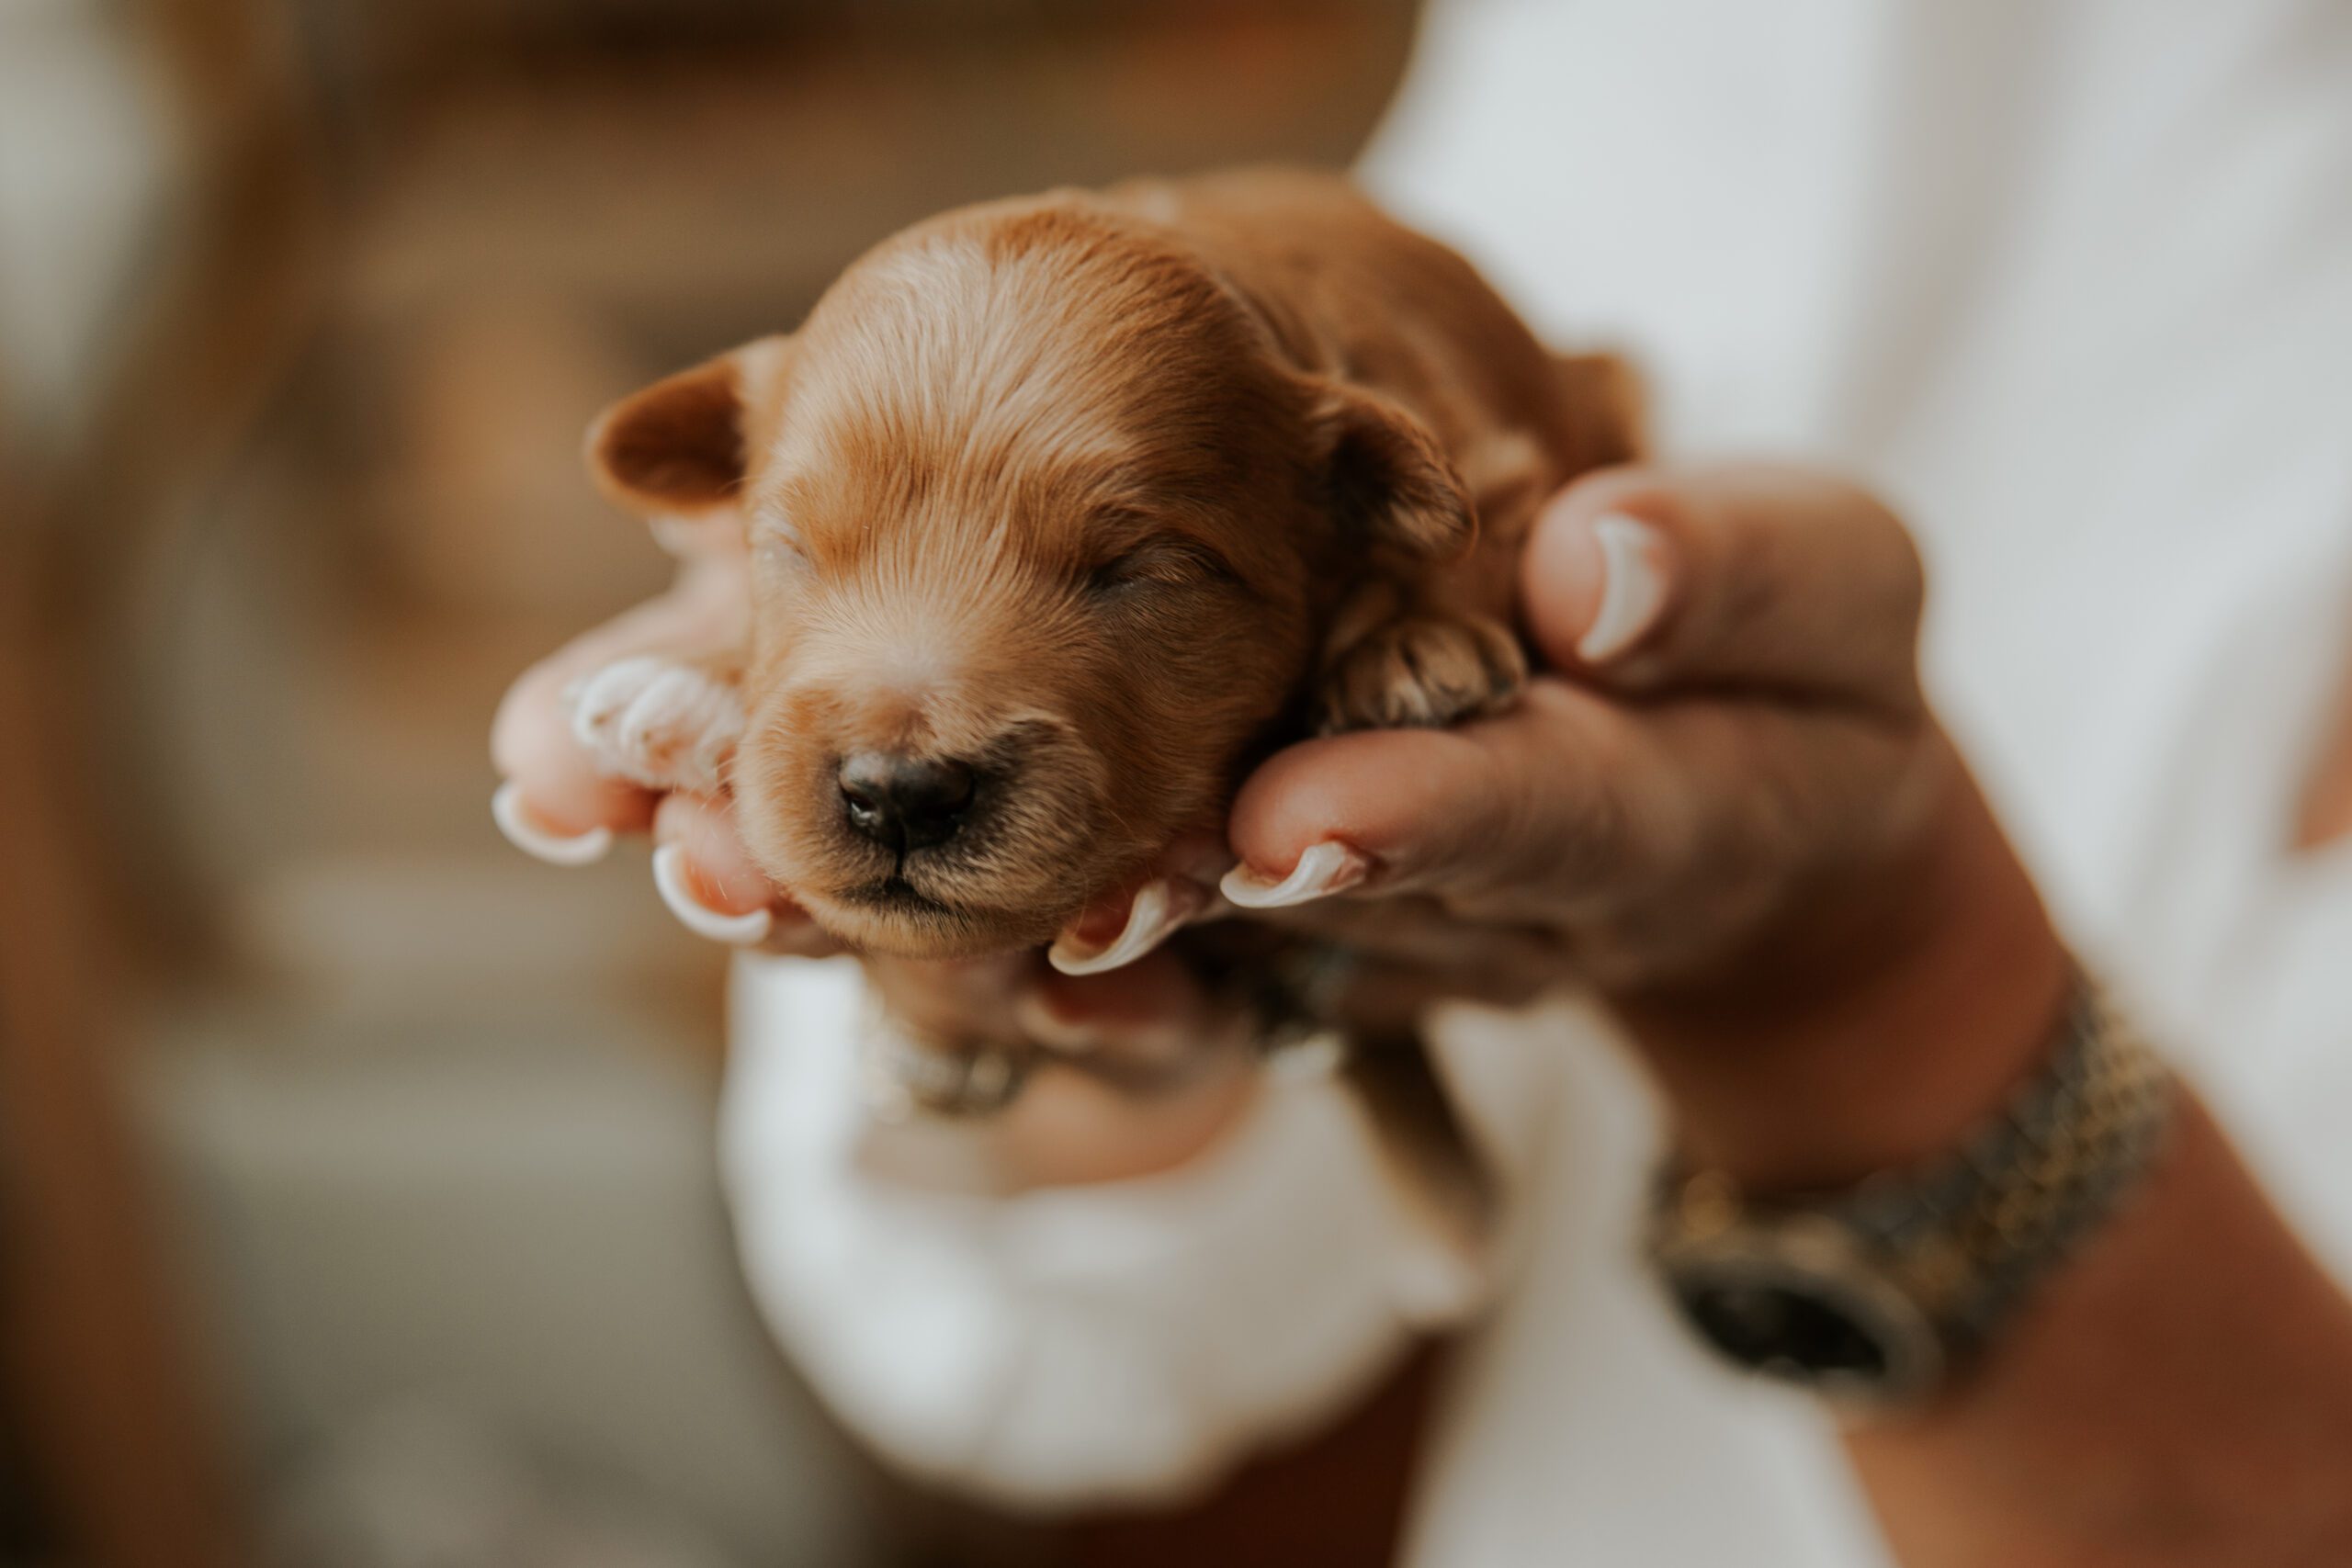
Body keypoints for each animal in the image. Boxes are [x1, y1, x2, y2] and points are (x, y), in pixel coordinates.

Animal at [569, 162, 1636, 968]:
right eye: (789, 549)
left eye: (1131, 569)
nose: (898, 793)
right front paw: (689, 679)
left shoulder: (1490, 452)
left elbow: (1470, 537)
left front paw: (1413, 641)